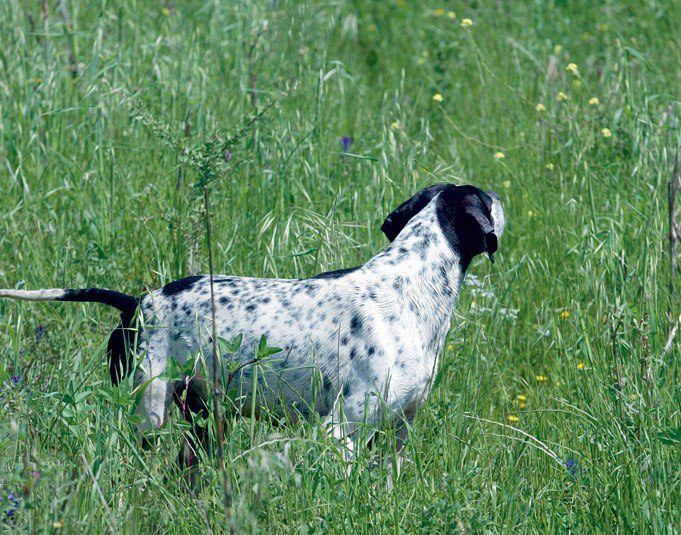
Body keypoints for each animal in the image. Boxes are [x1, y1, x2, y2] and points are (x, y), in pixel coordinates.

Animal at [1, 183, 504, 474]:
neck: (409, 284)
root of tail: (138, 302)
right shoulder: (341, 432)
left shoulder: (398, 433)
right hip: (147, 413)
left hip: (202, 426)